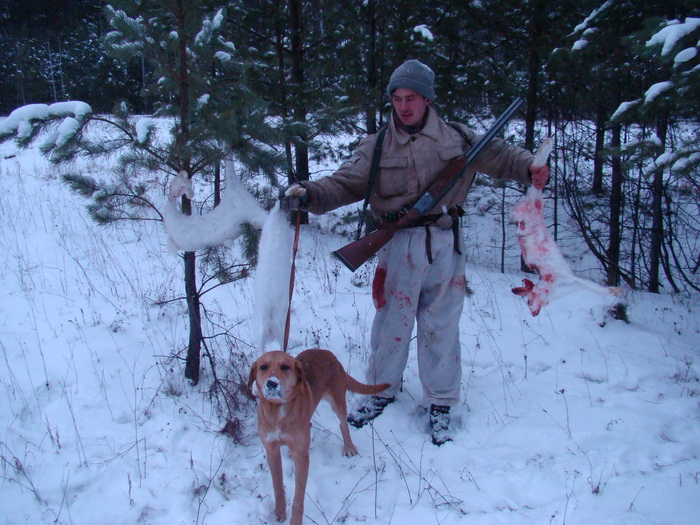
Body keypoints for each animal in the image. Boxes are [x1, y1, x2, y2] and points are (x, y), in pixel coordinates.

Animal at [247, 348, 392, 524]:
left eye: (285, 367)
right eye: (263, 367)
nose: (271, 383)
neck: (278, 411)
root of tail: (327, 352)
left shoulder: (301, 459)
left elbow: (298, 499)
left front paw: (295, 521)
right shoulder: (272, 451)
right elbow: (278, 487)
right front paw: (280, 512)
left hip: (338, 401)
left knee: (343, 424)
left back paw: (349, 446)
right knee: (309, 425)